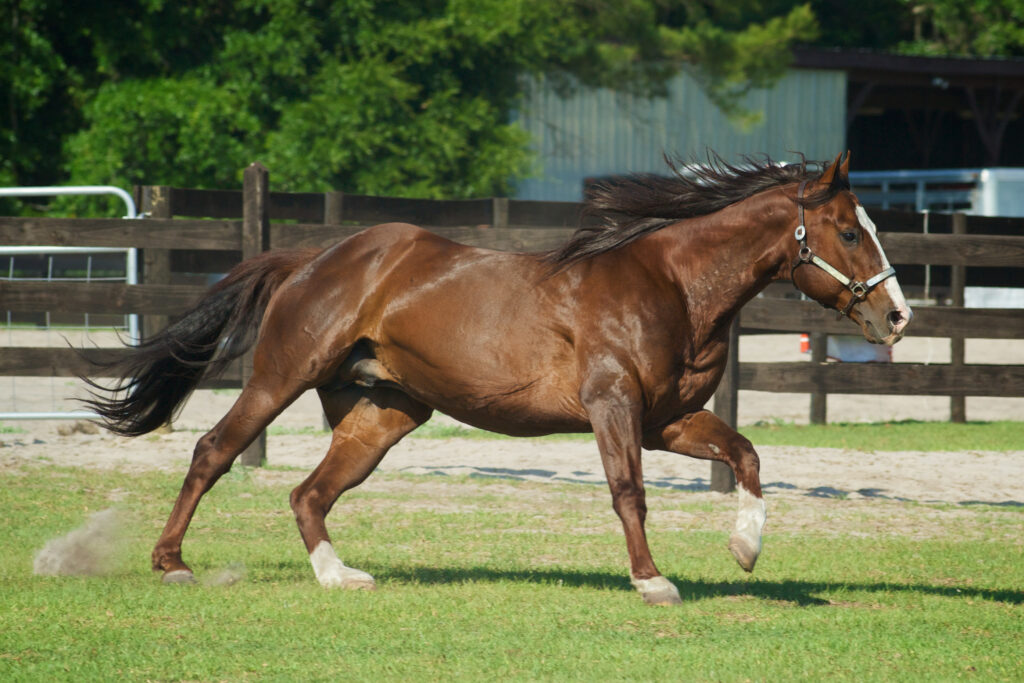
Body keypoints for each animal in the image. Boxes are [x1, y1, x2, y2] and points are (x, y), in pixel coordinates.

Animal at [86, 152, 912, 605]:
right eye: (849, 230)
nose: (898, 315)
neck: (672, 284)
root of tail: (315, 258)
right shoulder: (614, 407)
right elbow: (628, 492)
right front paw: (652, 581)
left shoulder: (665, 419)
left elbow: (746, 454)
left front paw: (745, 549)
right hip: (281, 376)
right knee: (214, 451)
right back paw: (172, 564)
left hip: (386, 413)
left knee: (309, 492)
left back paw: (339, 576)